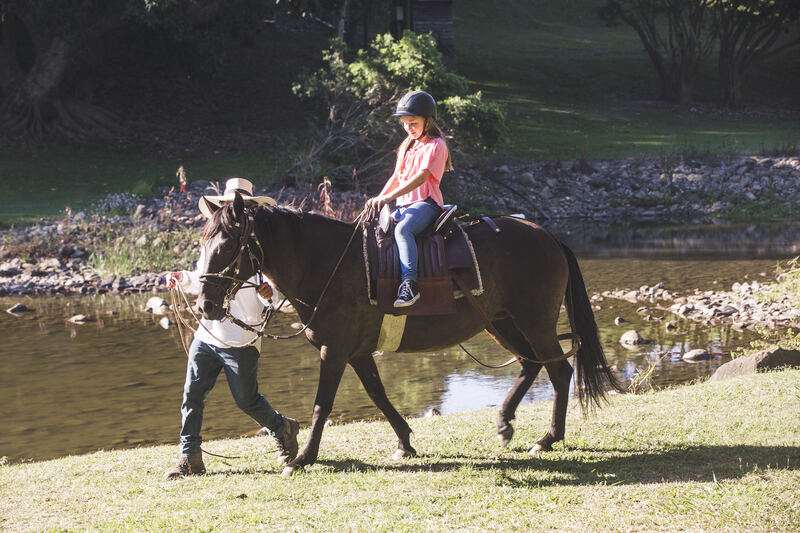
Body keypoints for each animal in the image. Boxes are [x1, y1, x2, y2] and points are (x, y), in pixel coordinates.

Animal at [195, 192, 619, 476]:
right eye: (202, 243)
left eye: (228, 244)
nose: (206, 305)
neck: (328, 262)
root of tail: (547, 235)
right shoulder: (356, 352)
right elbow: (378, 395)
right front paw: (405, 442)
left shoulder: (335, 350)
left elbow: (322, 405)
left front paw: (301, 459)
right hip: (502, 322)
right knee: (532, 365)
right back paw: (505, 423)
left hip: (534, 321)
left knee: (559, 371)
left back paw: (548, 437)